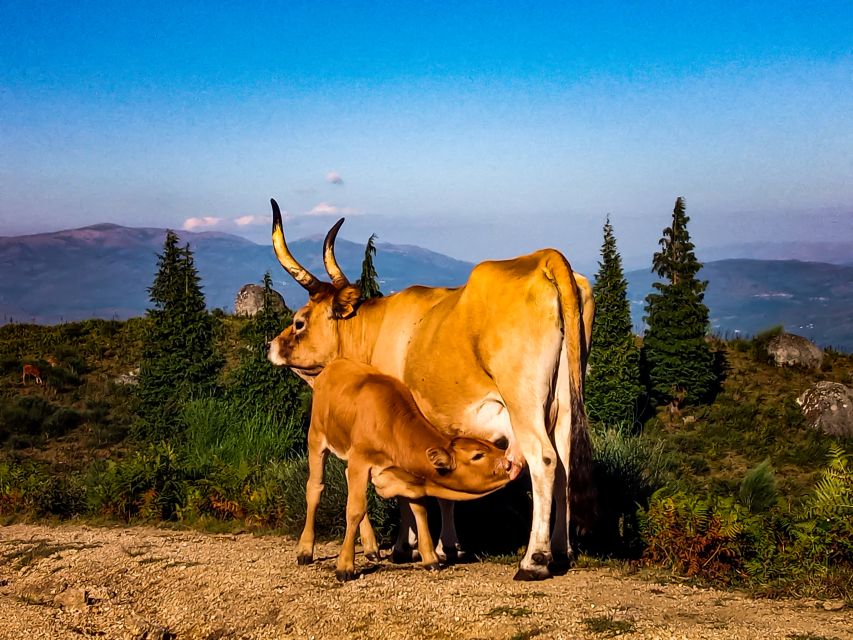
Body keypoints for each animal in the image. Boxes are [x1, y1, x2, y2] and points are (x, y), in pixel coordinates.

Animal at [298, 358, 512, 584]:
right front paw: (345, 565)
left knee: (347, 477)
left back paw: (371, 547)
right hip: (317, 437)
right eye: (478, 455)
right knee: (315, 488)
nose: (509, 461)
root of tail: (334, 364)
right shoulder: (361, 459)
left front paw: (430, 558)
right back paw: (305, 550)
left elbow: (419, 508)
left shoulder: (407, 475)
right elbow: (355, 510)